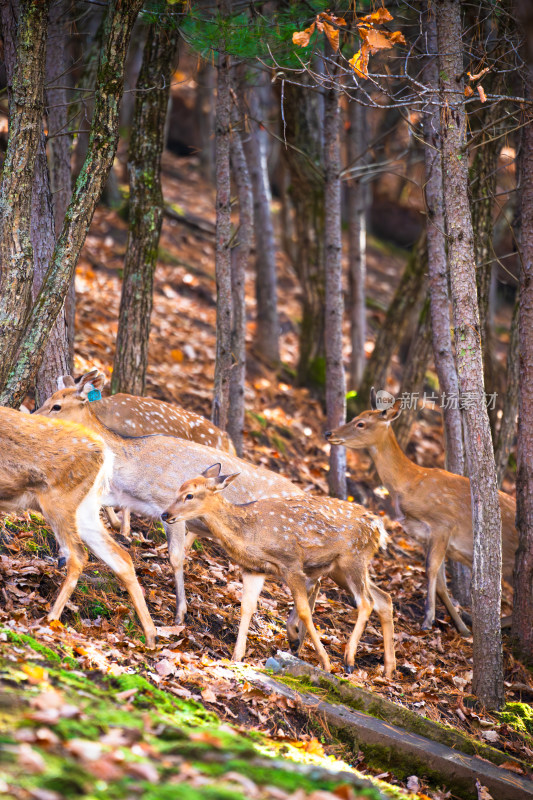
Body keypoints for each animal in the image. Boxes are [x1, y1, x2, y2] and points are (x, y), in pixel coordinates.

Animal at [0, 410, 156, 648]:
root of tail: (105, 453)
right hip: (86, 508)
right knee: (122, 558)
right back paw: (151, 636)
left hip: (59, 500)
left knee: (78, 556)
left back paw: (51, 619)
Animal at [36, 372, 304, 620]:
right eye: (47, 399)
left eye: (57, 406)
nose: (33, 417)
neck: (133, 469)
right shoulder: (120, 496)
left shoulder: (170, 507)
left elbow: (176, 557)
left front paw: (180, 612)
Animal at [162, 466, 394, 680]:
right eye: (178, 489)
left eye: (189, 495)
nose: (165, 514)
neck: (249, 534)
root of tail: (379, 527)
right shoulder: (253, 569)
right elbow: (246, 607)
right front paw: (237, 656)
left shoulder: (292, 563)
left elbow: (304, 611)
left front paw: (325, 663)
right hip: (339, 568)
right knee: (383, 598)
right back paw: (388, 670)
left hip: (353, 557)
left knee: (366, 601)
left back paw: (349, 660)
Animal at [324, 390, 516, 636]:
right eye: (356, 417)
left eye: (361, 423)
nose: (329, 433)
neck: (411, 483)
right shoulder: (427, 535)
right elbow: (441, 583)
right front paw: (462, 628)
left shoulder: (444, 524)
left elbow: (430, 570)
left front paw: (428, 619)